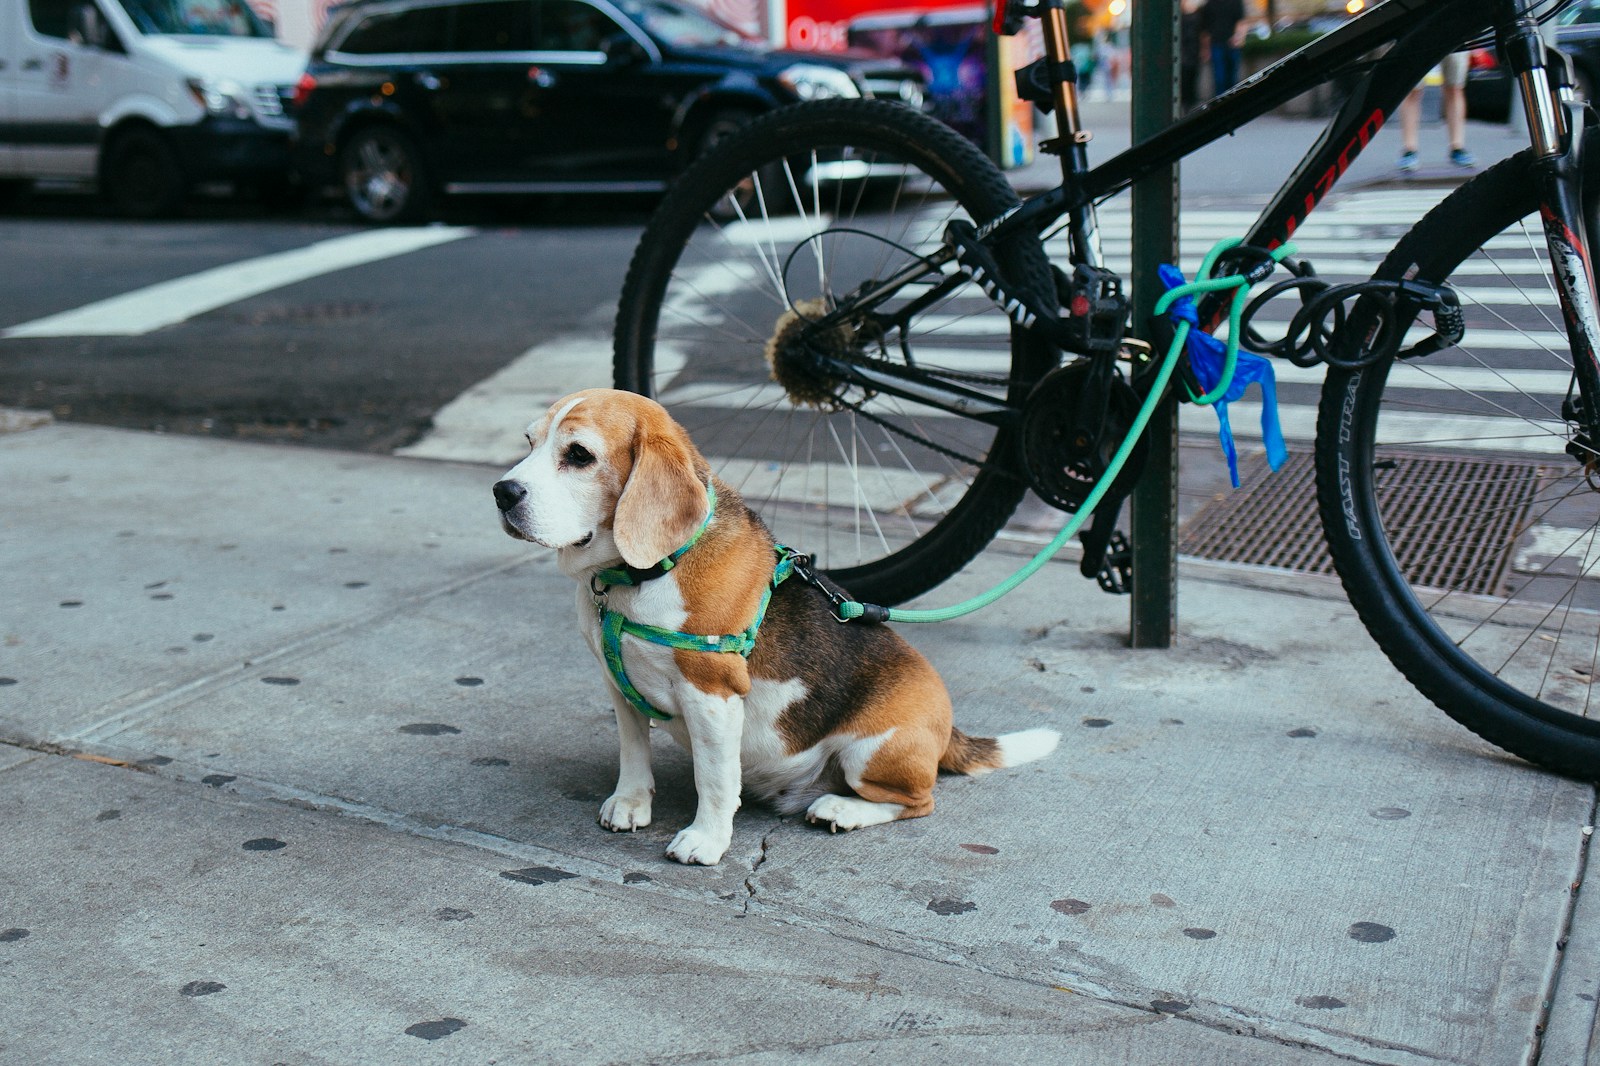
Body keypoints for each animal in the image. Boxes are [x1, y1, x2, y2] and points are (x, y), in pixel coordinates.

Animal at [492, 390, 1056, 864]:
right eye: (529, 441)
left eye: (579, 455)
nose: (502, 491)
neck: (640, 574)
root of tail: (947, 726)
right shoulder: (618, 684)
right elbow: (634, 751)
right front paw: (631, 803)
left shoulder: (712, 694)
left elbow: (716, 778)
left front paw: (706, 839)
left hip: (872, 752)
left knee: (920, 801)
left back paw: (841, 809)